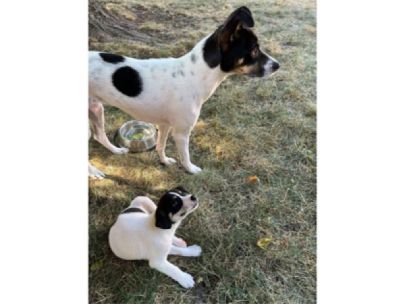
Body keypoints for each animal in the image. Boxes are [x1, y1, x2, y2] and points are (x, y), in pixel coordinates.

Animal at [88, 5, 278, 178]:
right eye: (254, 50)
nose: (277, 65)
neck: (194, 74)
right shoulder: (181, 133)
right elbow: (185, 156)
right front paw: (191, 170)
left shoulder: (164, 125)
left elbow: (161, 145)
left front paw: (164, 161)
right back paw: (94, 172)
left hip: (97, 109)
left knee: (99, 135)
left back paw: (116, 150)